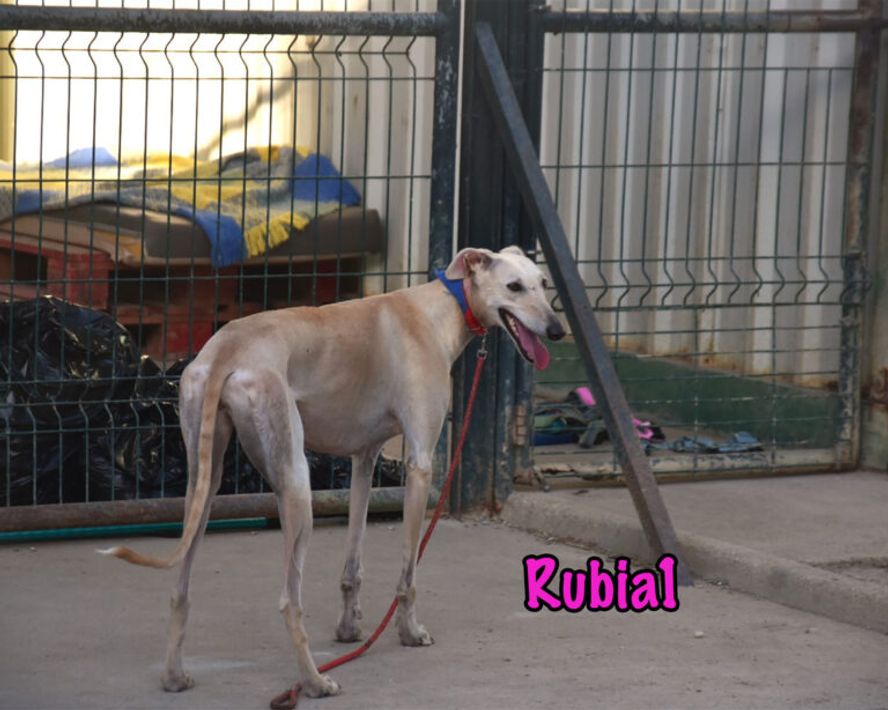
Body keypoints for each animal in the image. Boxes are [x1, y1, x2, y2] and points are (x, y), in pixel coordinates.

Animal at [100, 245, 565, 697]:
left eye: (544, 283)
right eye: (514, 286)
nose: (557, 330)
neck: (441, 308)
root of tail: (225, 349)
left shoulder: (364, 460)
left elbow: (352, 563)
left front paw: (348, 628)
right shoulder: (420, 465)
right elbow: (409, 573)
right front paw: (409, 631)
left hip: (204, 479)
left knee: (180, 589)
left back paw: (174, 676)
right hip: (295, 484)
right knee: (289, 600)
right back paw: (313, 682)